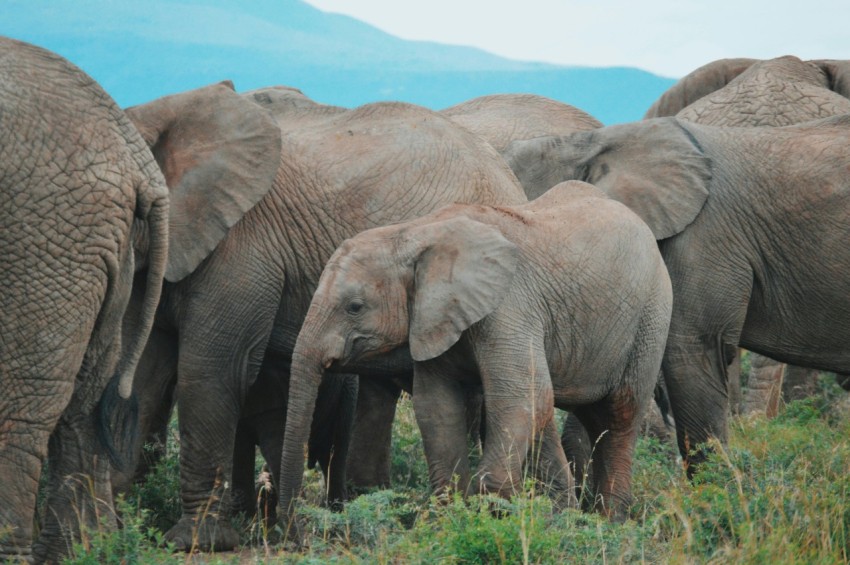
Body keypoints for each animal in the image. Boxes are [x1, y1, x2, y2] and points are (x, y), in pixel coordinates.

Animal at [117, 89, 526, 550]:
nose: (293, 534)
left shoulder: (243, 245)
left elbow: (212, 372)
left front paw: (195, 542)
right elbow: (146, 377)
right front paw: (116, 524)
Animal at [281, 180, 673, 522]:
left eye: (355, 307)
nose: (294, 527)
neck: (415, 234)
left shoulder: (510, 305)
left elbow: (517, 395)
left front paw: (495, 513)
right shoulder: (435, 317)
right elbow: (437, 405)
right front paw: (451, 516)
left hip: (651, 318)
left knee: (618, 415)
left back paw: (610, 522)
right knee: (569, 415)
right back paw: (572, 517)